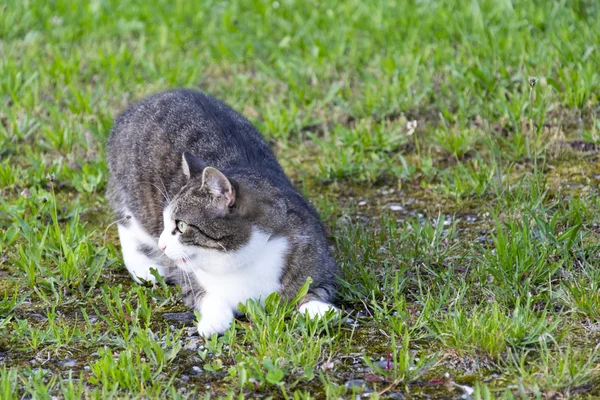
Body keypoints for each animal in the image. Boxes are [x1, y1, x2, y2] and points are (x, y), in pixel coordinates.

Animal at [106, 89, 338, 336]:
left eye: (180, 226)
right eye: (166, 222)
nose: (162, 245)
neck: (244, 261)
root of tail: (143, 102)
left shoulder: (320, 263)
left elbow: (314, 289)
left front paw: (318, 309)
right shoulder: (189, 279)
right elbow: (205, 295)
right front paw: (214, 319)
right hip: (134, 196)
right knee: (125, 221)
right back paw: (142, 265)